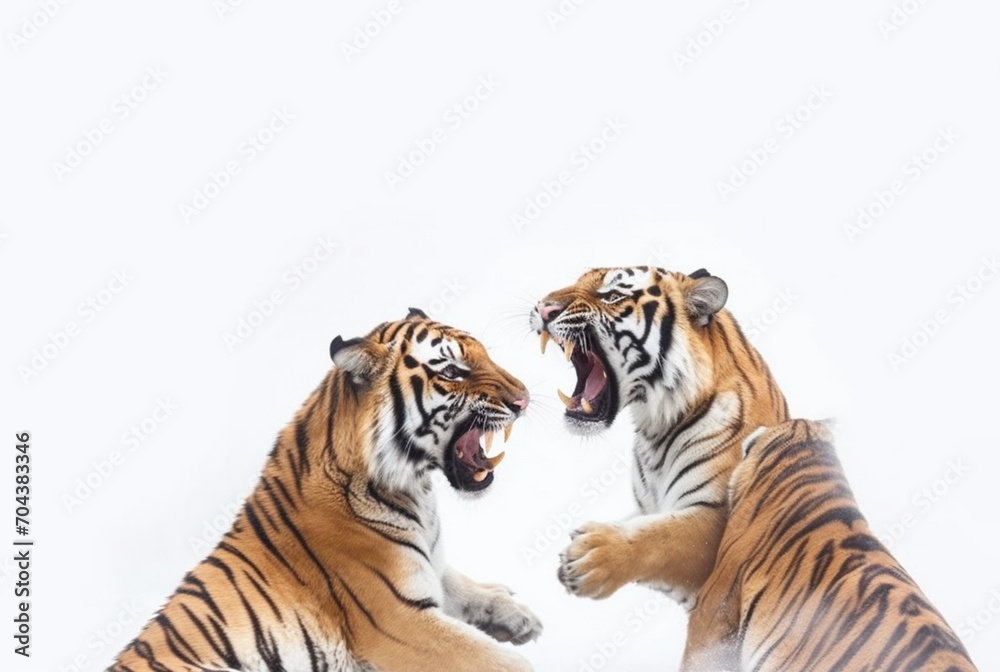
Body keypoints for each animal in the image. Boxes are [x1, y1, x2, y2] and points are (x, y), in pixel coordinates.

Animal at [111, 309, 542, 672]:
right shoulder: (400, 620)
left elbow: (463, 585)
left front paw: (518, 614)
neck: (417, 492)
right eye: (453, 371)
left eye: (484, 355)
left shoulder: (430, 569)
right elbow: (505, 662)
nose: (523, 400)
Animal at [528, 266, 789, 607]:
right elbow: (641, 522)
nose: (544, 308)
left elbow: (662, 537)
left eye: (612, 296)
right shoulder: (647, 508)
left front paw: (591, 556)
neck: (656, 429)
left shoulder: (718, 521)